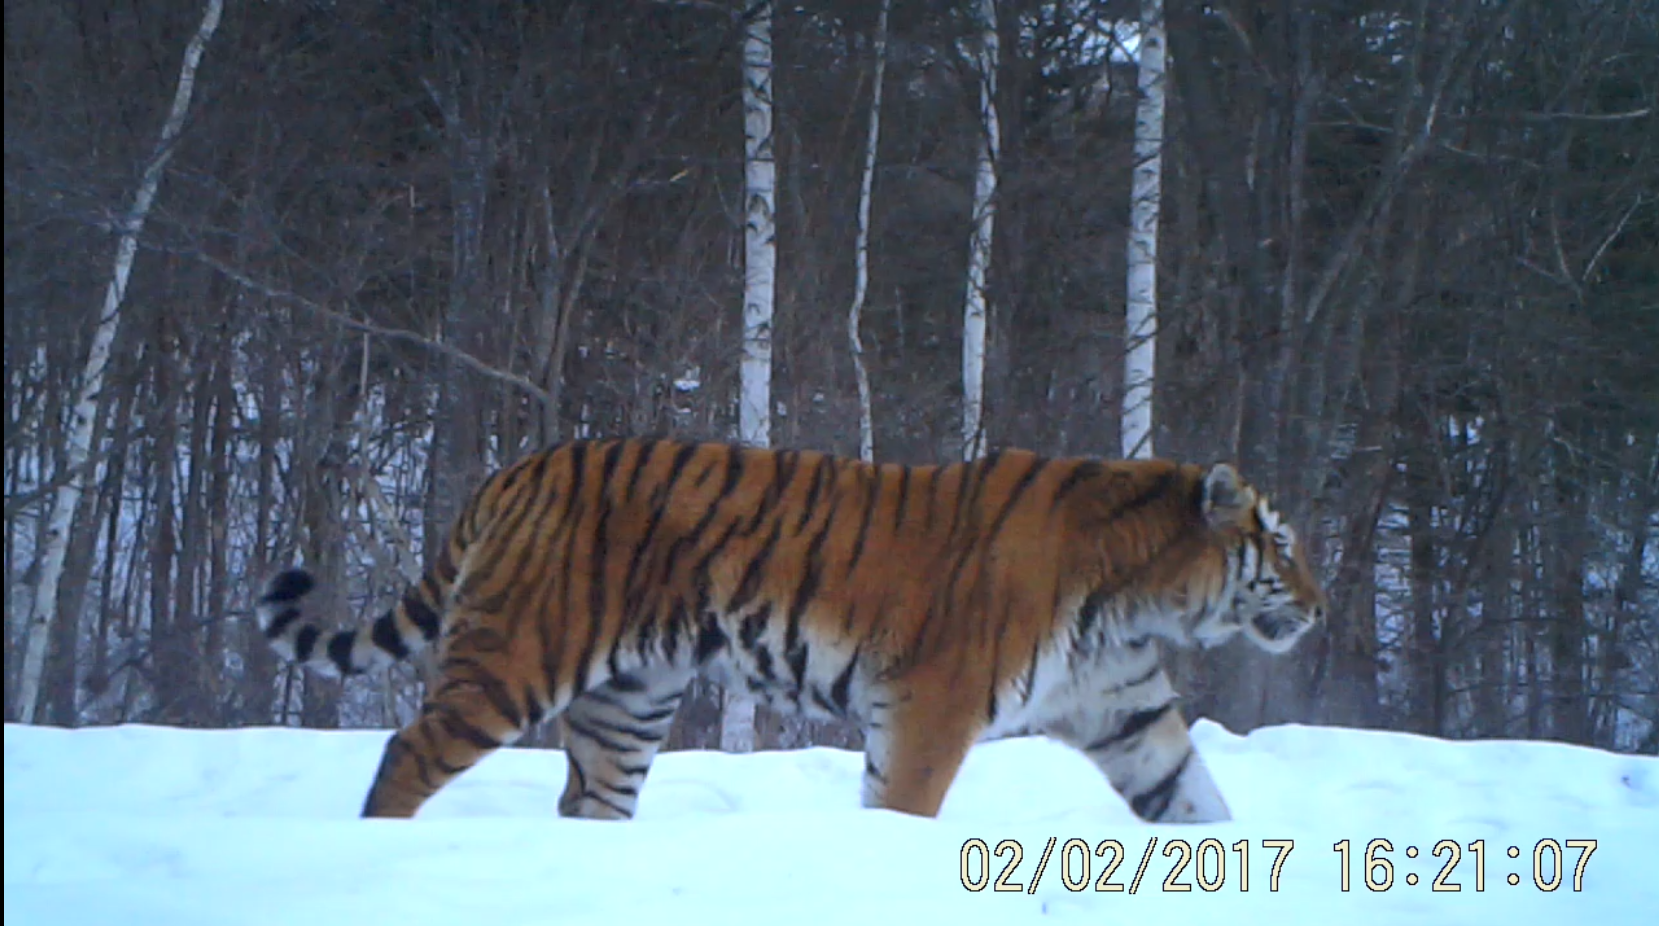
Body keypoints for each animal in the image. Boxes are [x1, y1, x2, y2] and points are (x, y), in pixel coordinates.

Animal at [255, 438, 1320, 823]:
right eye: (1280, 542)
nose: (1318, 606)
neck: (1138, 598)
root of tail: (516, 469)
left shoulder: (1128, 717)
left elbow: (1198, 804)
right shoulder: (930, 710)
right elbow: (904, 809)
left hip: (626, 704)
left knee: (588, 800)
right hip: (516, 658)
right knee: (405, 753)